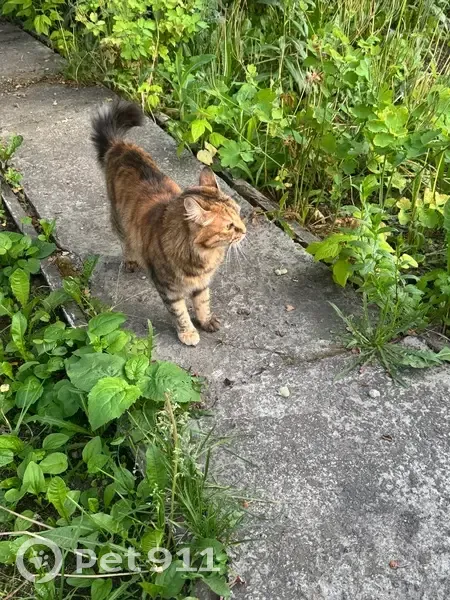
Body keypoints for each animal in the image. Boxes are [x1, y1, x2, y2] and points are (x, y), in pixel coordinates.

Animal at [91, 99, 246, 346]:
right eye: (229, 226)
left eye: (239, 214)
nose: (245, 230)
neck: (203, 256)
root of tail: (120, 145)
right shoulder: (168, 289)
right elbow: (180, 313)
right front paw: (188, 333)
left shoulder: (201, 284)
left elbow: (203, 303)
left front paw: (206, 321)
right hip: (119, 220)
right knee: (126, 241)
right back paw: (131, 260)